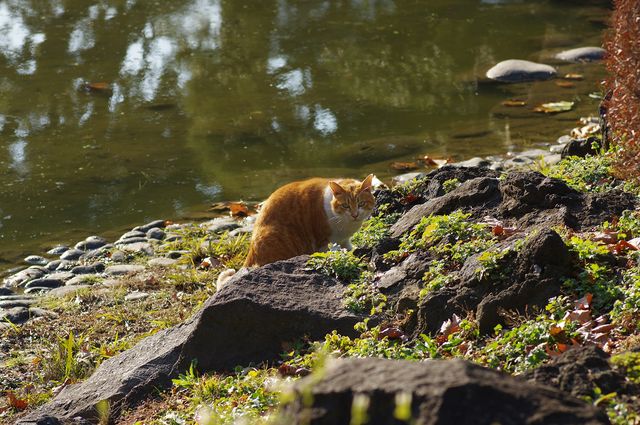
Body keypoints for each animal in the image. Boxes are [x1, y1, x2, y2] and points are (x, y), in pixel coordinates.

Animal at [218, 174, 376, 290]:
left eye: (361, 204)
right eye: (345, 206)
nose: (355, 215)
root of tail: (251, 252)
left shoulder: (344, 240)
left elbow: (349, 247)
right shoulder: (324, 242)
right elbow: (330, 252)